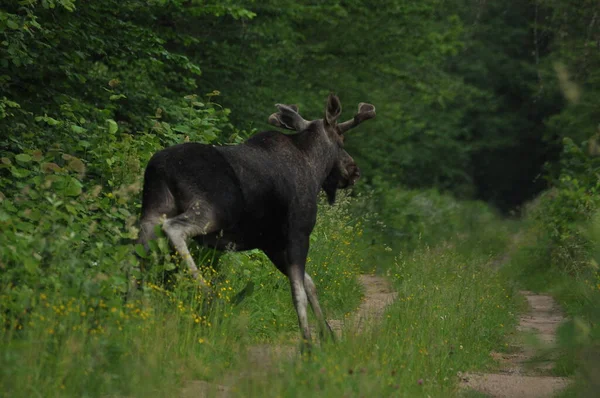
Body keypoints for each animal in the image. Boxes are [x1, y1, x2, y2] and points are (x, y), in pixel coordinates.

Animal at [138, 94, 378, 346]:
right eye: (341, 141)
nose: (354, 171)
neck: (314, 167)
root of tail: (160, 167)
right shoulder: (298, 233)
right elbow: (299, 292)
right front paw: (308, 343)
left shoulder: (271, 244)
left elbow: (309, 283)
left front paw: (327, 334)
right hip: (214, 210)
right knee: (174, 229)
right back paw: (207, 293)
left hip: (152, 211)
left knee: (139, 252)